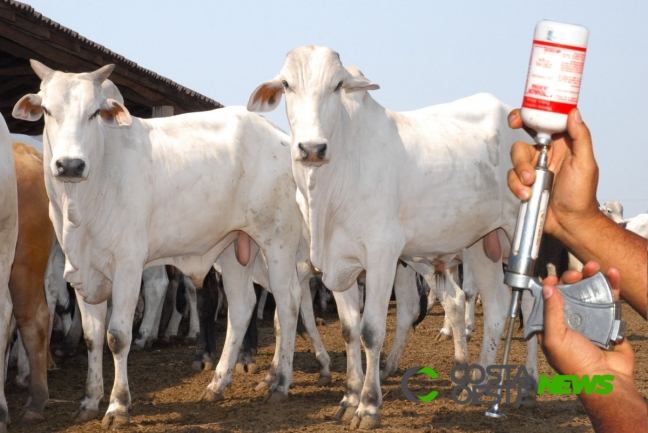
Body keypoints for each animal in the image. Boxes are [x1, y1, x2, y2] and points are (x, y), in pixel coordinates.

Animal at [12, 60, 312, 428]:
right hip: (235, 249)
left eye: (94, 112)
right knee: (243, 307)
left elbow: (117, 337)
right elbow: (92, 336)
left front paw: (118, 406)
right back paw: (217, 384)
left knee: (288, 301)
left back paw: (280, 382)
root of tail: (279, 135)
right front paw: (89, 401)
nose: (70, 165)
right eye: (47, 111)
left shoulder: (128, 266)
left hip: (277, 240)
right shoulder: (82, 270)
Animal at [249, 47, 536, 428]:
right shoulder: (337, 265)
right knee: (496, 307)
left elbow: (371, 331)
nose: (311, 148)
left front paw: (369, 405)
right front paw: (349, 398)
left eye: (337, 84)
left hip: (522, 235)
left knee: (529, 302)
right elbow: (349, 329)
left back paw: (529, 386)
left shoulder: (382, 255)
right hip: (482, 244)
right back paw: (477, 384)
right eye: (285, 84)